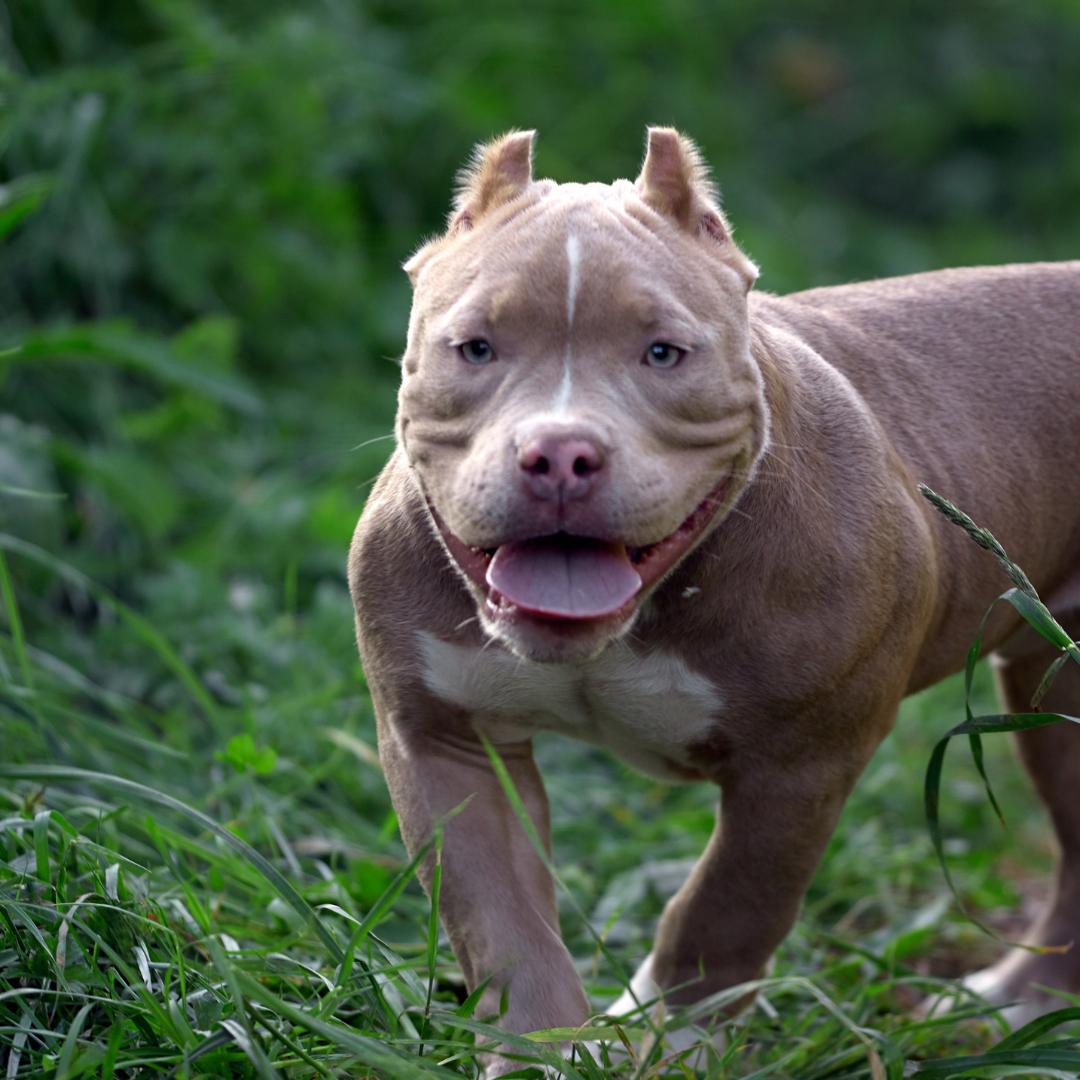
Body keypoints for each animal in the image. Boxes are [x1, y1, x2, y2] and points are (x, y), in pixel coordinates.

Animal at [347, 126, 1080, 1071]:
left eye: (664, 353)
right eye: (474, 347)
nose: (560, 454)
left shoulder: (799, 769)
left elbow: (725, 908)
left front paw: (675, 1036)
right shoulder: (445, 742)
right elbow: (502, 924)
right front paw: (543, 1051)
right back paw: (1028, 999)